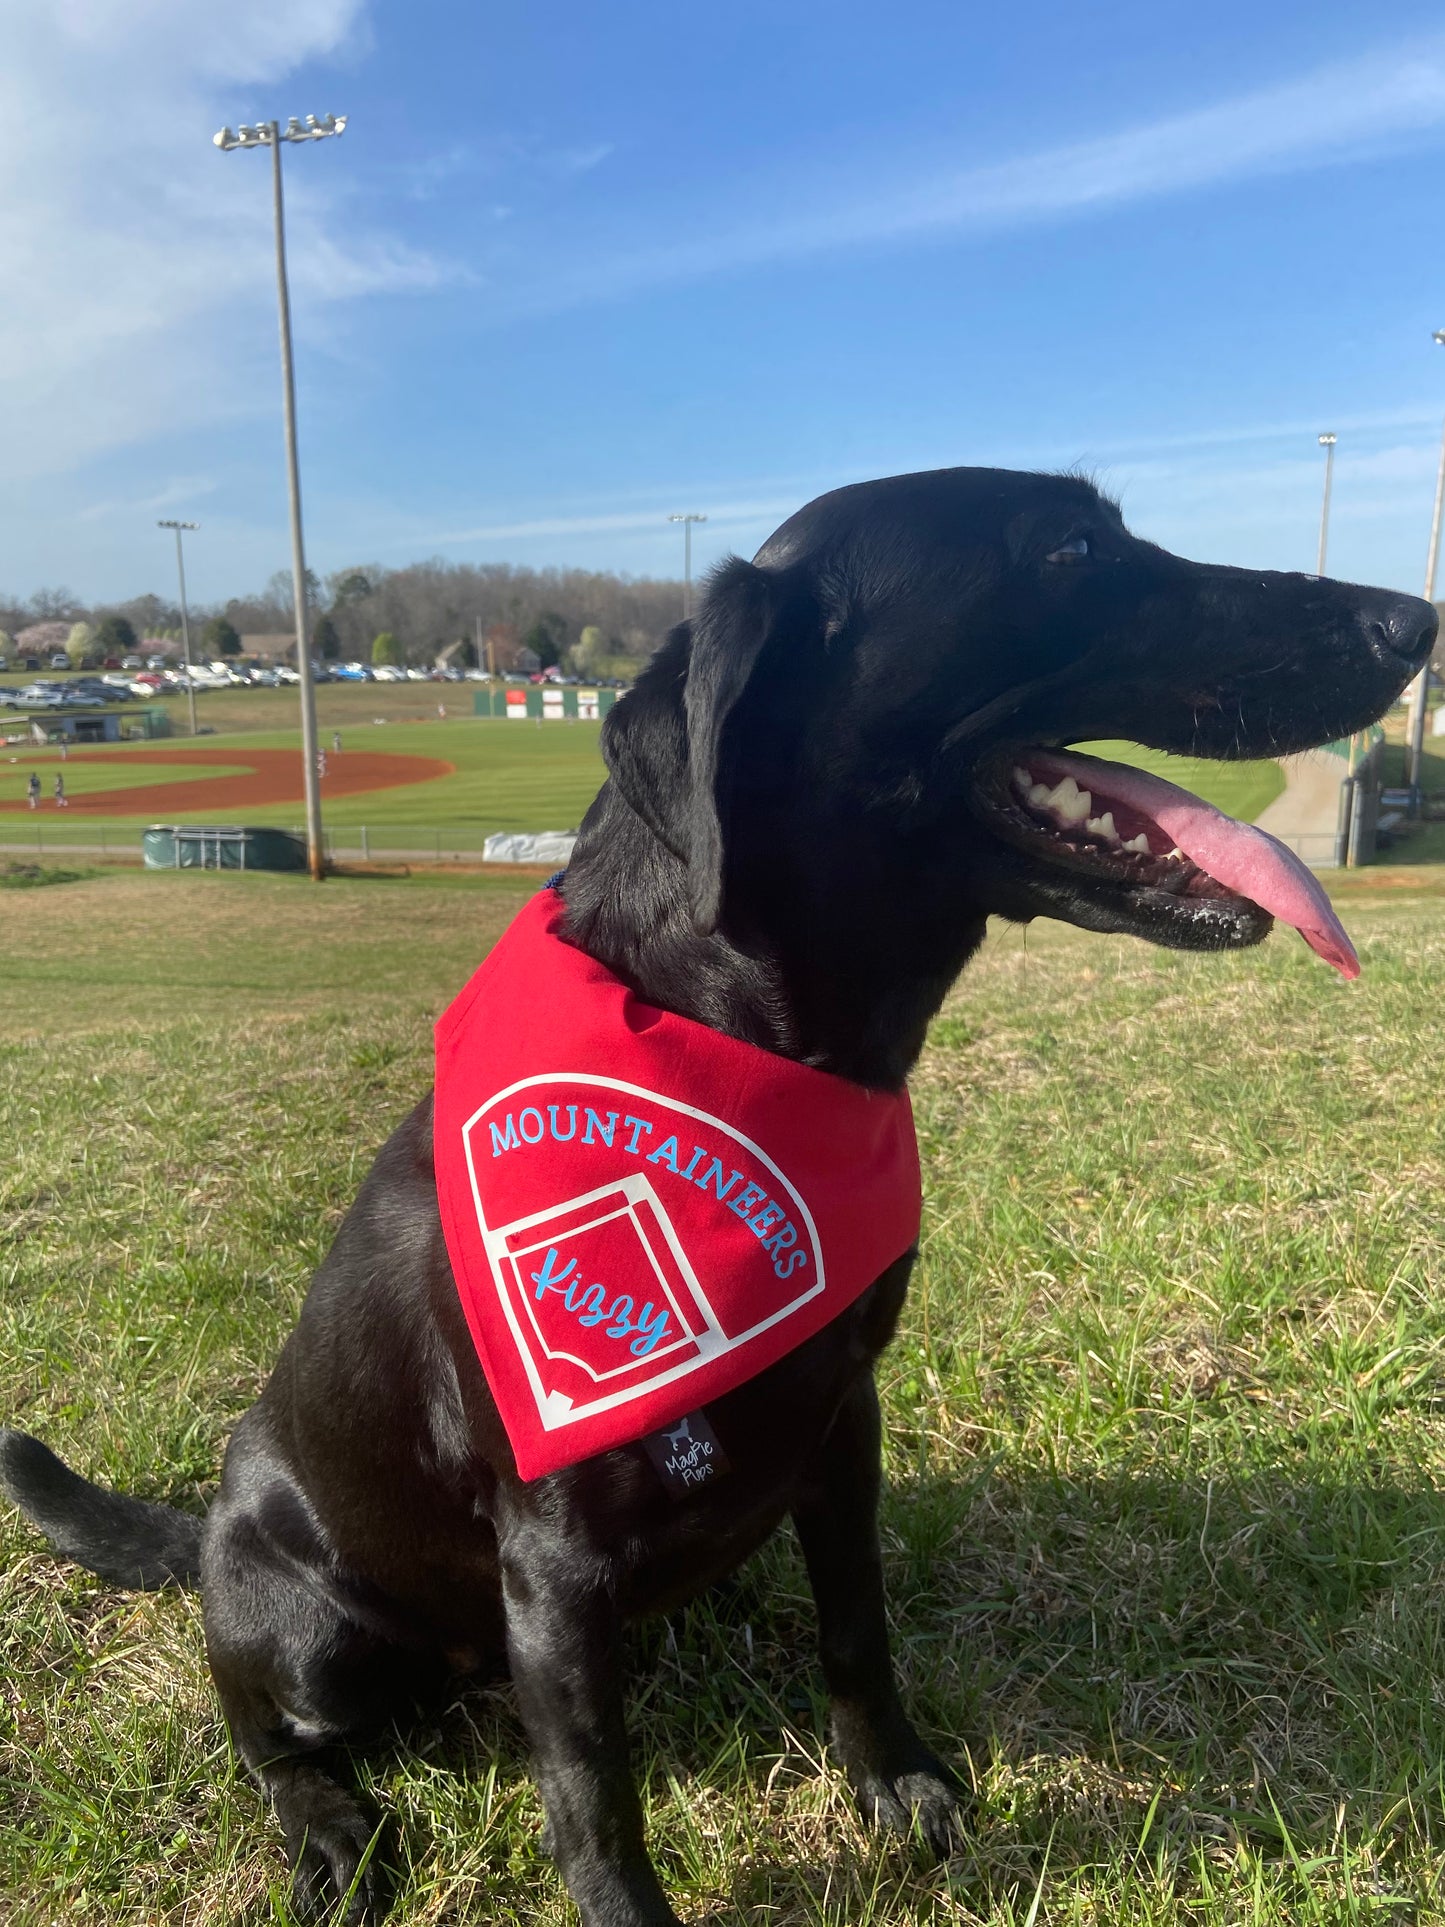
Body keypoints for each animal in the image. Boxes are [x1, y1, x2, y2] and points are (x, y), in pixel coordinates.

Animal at [0, 466, 1441, 1927]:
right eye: (1071, 548)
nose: (1412, 616)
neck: (741, 1044)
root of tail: (208, 1534)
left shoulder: (843, 1414)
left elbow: (857, 1628)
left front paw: (896, 1781)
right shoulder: (557, 1555)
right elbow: (593, 1797)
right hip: (305, 1632)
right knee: (267, 1738)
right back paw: (332, 1828)